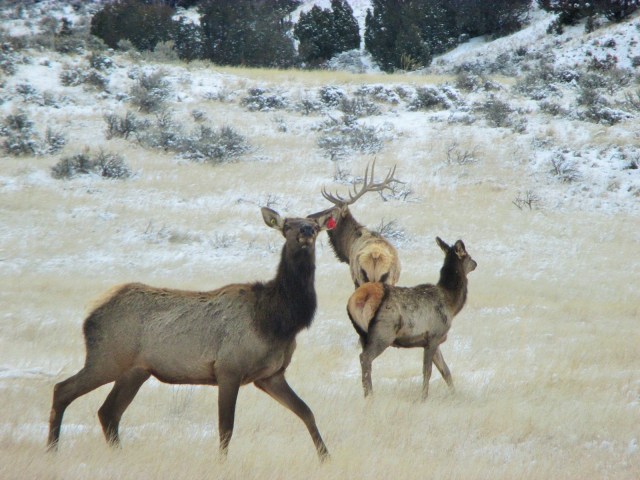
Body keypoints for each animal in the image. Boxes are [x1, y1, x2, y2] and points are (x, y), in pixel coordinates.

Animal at [46, 207, 338, 461]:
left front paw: (325, 458)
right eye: (286, 226)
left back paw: (117, 455)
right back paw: (52, 449)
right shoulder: (228, 368)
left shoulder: (271, 375)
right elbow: (226, 427)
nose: (306, 230)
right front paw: (221, 464)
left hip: (135, 371)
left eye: (315, 226)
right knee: (63, 390)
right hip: (107, 358)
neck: (277, 322)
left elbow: (307, 412)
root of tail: (90, 315)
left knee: (108, 412)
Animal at [346, 237, 477, 400]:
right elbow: (427, 371)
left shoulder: (433, 340)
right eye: (468, 255)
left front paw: (454, 395)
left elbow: (445, 370)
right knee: (365, 358)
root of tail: (358, 299)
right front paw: (423, 398)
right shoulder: (434, 335)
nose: (476, 263)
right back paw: (370, 395)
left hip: (363, 334)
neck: (451, 304)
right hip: (383, 333)